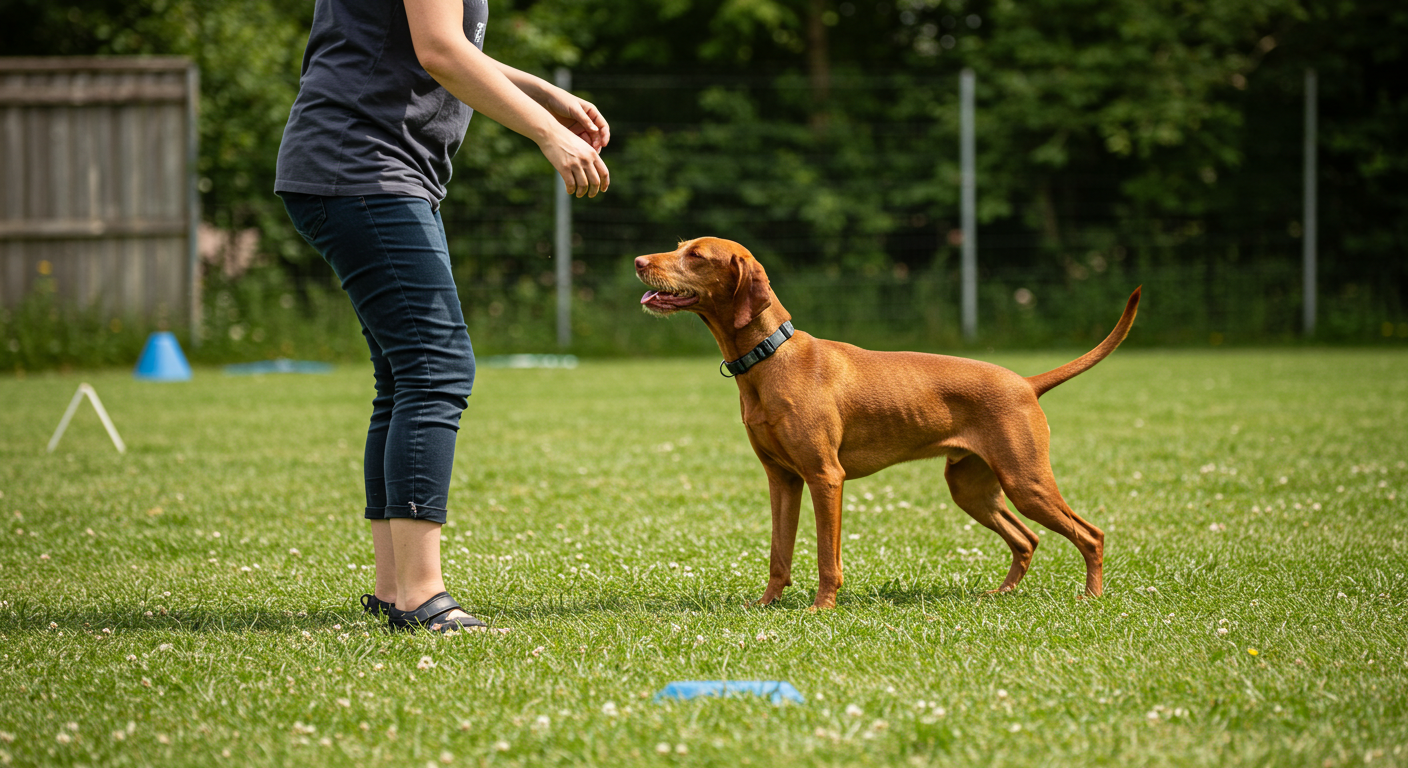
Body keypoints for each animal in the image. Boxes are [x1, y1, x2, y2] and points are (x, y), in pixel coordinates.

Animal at [633, 236, 1137, 608]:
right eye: (678, 246)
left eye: (696, 255)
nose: (638, 261)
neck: (769, 357)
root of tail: (1027, 383)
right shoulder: (782, 479)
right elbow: (779, 553)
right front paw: (765, 605)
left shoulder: (825, 476)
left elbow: (827, 556)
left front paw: (822, 608)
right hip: (973, 487)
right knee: (1027, 538)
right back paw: (1002, 593)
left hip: (1026, 480)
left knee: (1091, 534)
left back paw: (1091, 597)